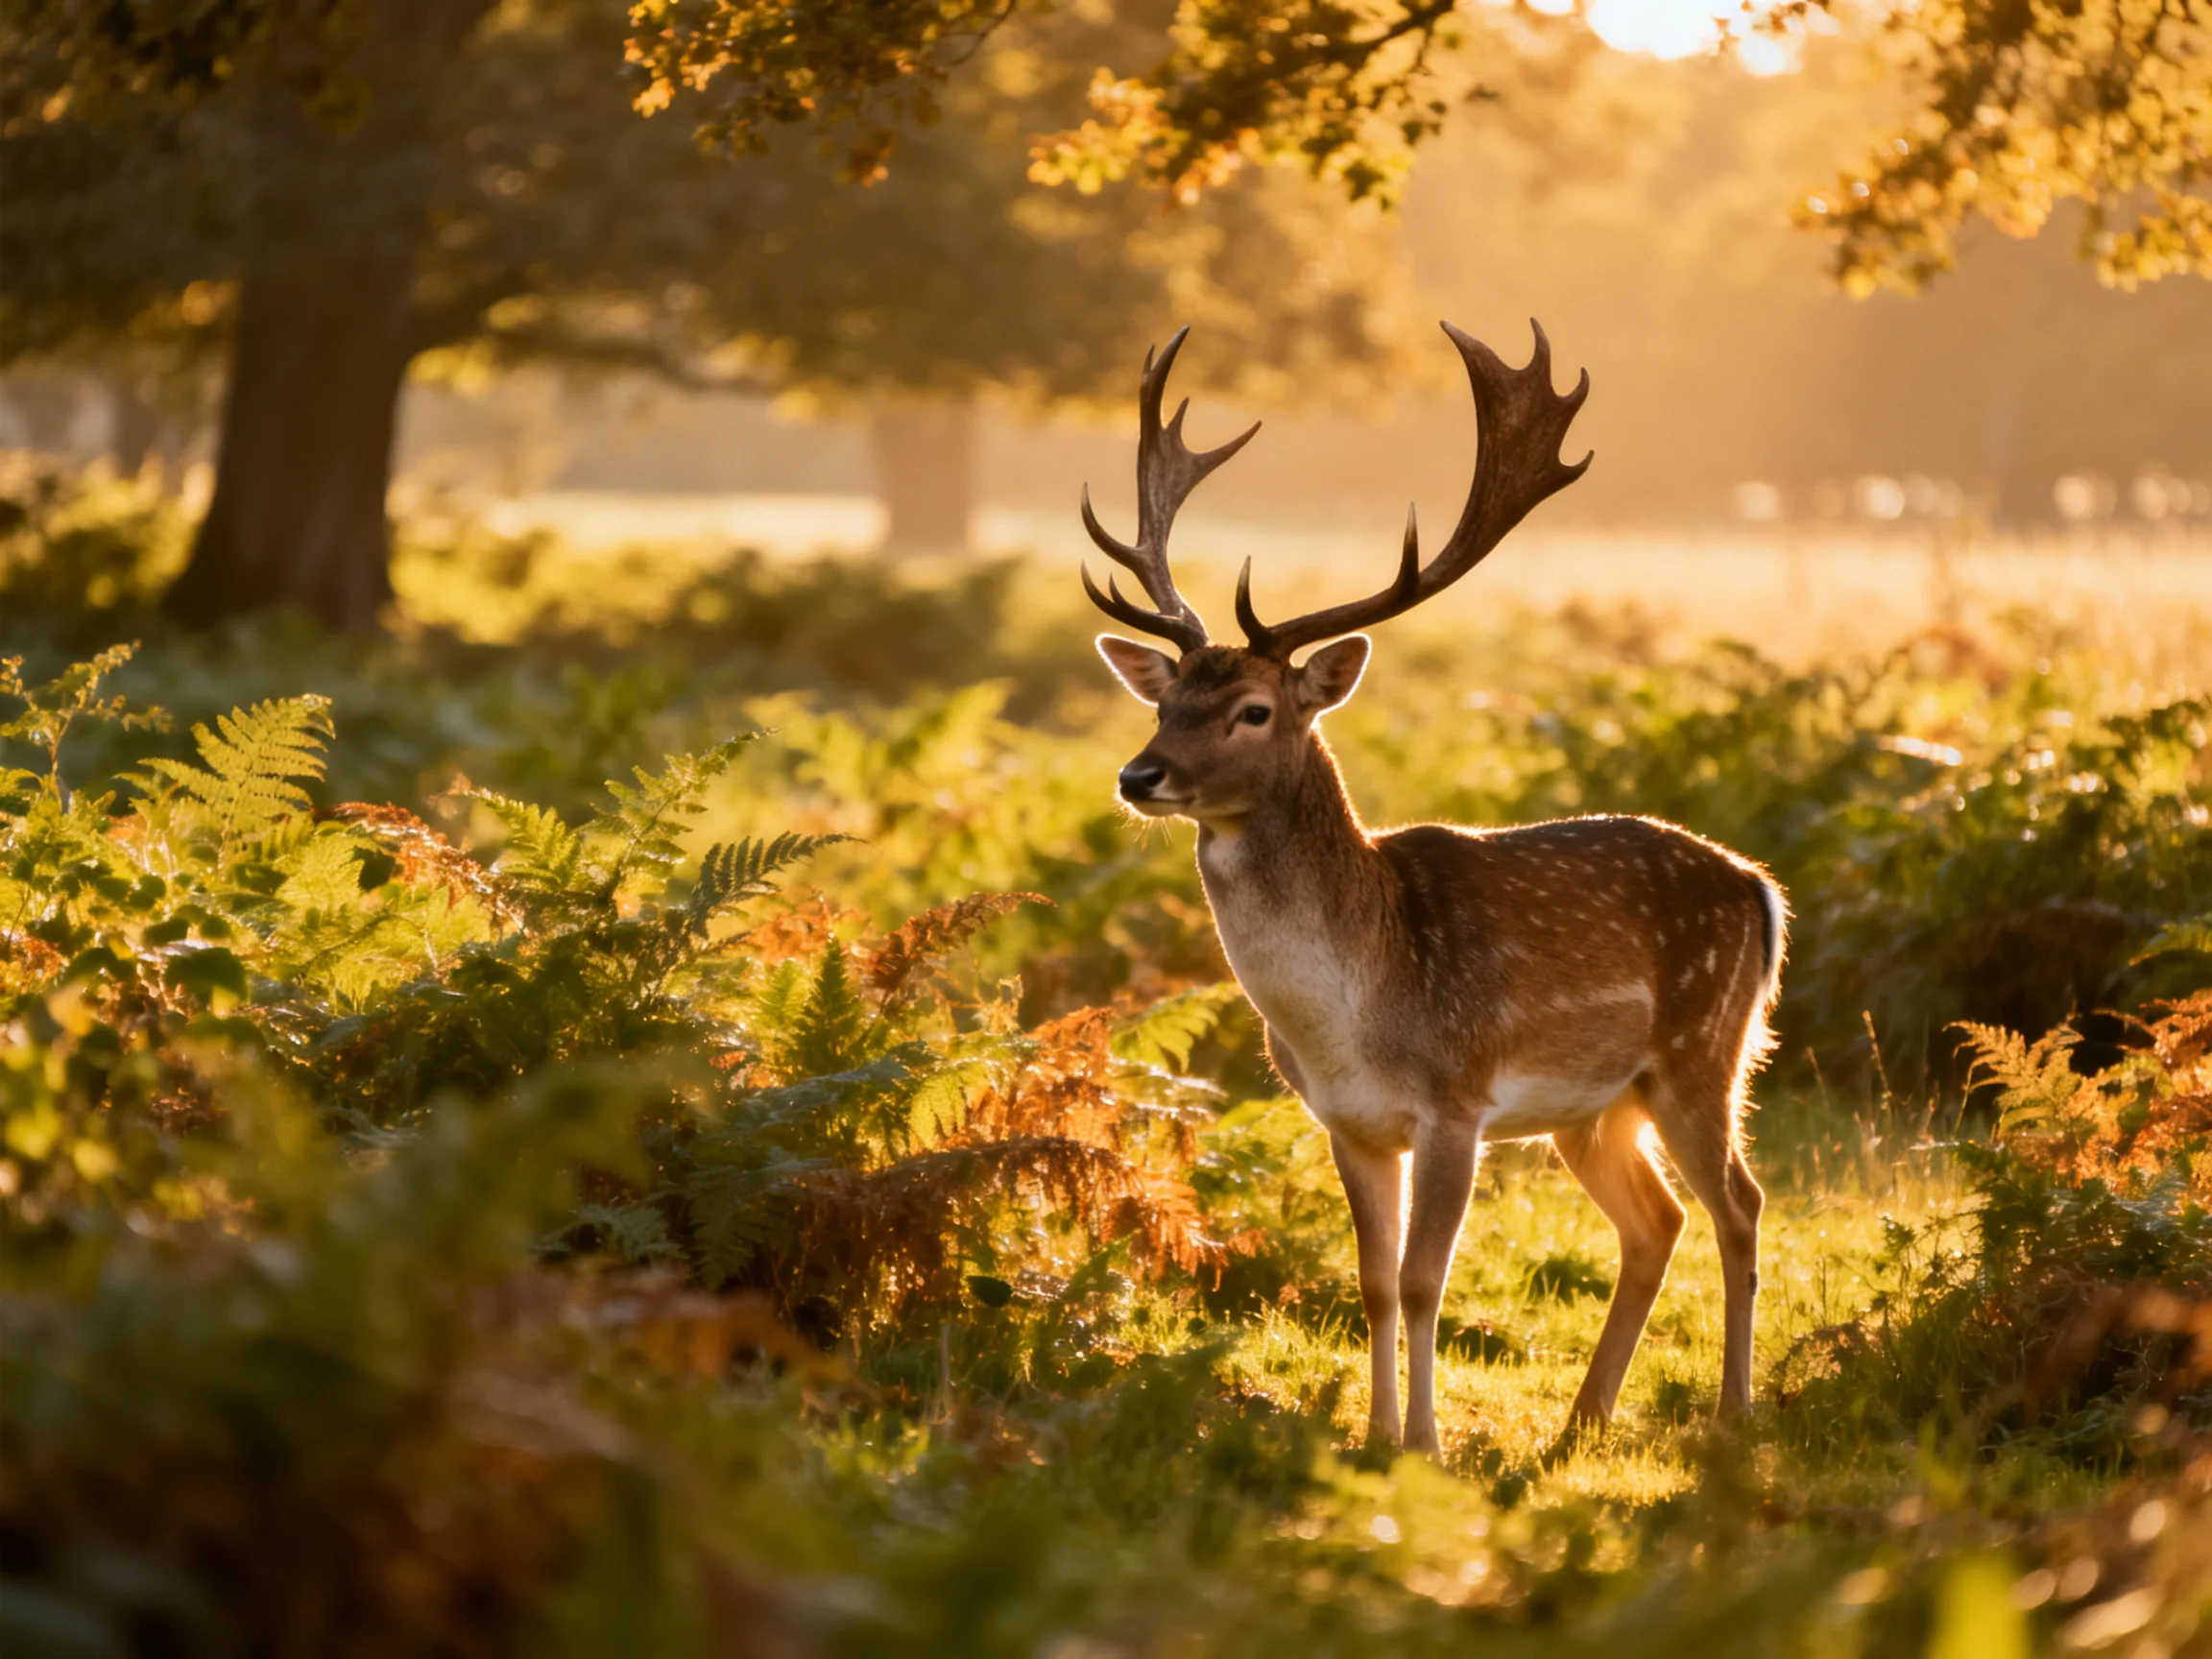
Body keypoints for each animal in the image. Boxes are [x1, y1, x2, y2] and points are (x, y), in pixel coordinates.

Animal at [1079, 320, 1787, 1455]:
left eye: (1252, 710)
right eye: (1166, 699)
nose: (1139, 777)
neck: (1353, 1016)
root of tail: (1761, 891)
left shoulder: (1456, 1102)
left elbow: (1423, 1282)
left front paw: (1425, 1445)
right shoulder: (1349, 1121)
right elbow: (1371, 1282)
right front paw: (1374, 1438)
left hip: (1703, 1051)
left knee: (1740, 1205)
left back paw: (1732, 1412)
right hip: (1598, 1105)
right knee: (1658, 1220)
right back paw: (1582, 1421)